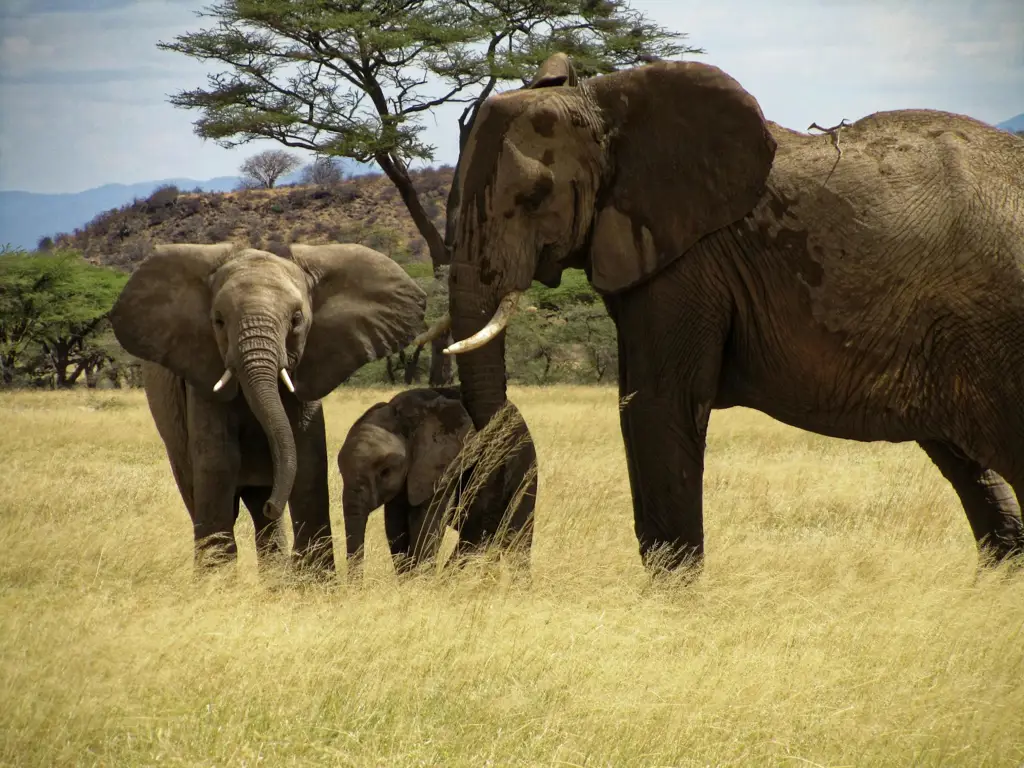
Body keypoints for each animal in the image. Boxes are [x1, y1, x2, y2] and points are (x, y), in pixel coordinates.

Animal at [110, 243, 430, 573]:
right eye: (218, 321)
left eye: (297, 320)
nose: (274, 505)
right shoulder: (201, 375)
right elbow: (217, 460)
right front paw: (215, 579)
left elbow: (309, 459)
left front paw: (312, 579)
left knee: (260, 511)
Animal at [339, 387, 540, 581]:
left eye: (385, 472)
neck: (401, 415)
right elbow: (395, 526)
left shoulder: (441, 466)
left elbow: (424, 522)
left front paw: (420, 581)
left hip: (525, 467)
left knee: (515, 536)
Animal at [415, 52, 1024, 577]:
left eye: (535, 197)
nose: (472, 544)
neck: (607, 101)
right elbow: (641, 405)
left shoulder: (691, 262)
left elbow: (656, 406)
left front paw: (671, 607)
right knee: (967, 464)